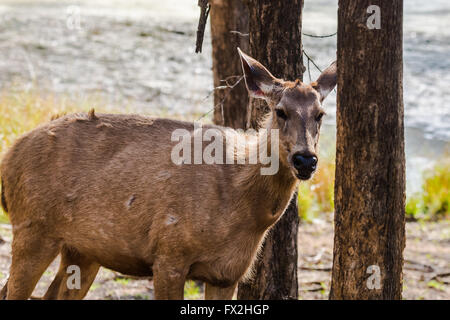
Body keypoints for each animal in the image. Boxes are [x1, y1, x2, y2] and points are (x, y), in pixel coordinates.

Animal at [0, 48, 336, 298]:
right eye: (280, 111)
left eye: (320, 114)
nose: (305, 160)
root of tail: (8, 158)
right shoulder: (169, 253)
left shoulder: (228, 273)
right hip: (32, 226)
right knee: (13, 291)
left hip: (82, 250)